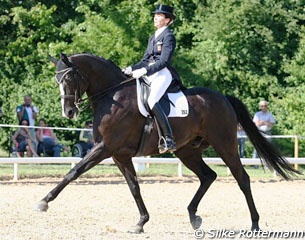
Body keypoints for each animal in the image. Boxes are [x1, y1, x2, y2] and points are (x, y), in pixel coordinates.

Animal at [36, 52, 300, 232]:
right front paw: (141, 222)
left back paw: (254, 224)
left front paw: (43, 202)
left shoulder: (105, 148)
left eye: (69, 78)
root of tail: (223, 98)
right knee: (208, 176)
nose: (68, 112)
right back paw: (194, 217)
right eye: (57, 80)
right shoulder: (119, 154)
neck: (113, 95)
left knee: (242, 178)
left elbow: (74, 171)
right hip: (187, 151)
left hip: (225, 145)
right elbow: (133, 186)